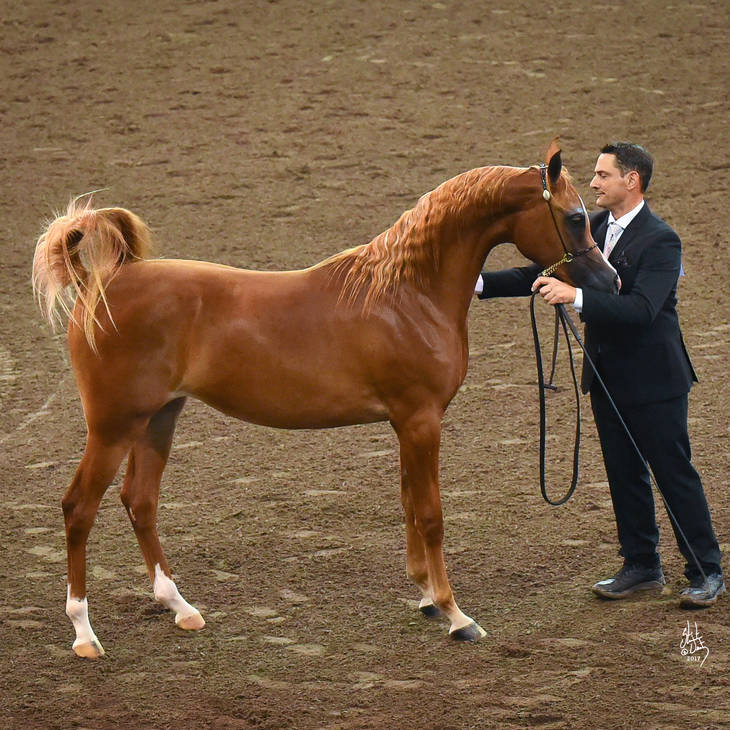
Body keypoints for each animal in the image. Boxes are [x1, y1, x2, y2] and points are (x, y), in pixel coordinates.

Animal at [32, 139, 618, 659]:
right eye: (574, 217)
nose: (609, 282)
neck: (407, 294)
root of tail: (101, 286)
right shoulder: (421, 420)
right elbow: (430, 514)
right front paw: (456, 615)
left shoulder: (405, 423)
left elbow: (408, 502)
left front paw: (427, 597)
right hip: (113, 426)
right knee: (79, 509)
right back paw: (84, 633)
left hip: (158, 419)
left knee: (140, 501)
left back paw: (180, 607)